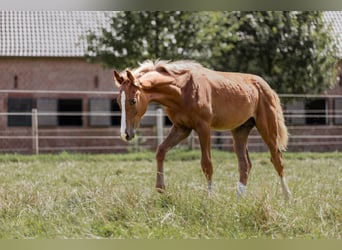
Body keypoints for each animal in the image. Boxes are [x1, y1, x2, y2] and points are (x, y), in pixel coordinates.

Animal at [114, 59, 292, 199]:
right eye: (117, 101)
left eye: (133, 100)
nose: (125, 134)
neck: (182, 90)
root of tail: (266, 87)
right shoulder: (181, 128)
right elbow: (161, 151)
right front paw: (160, 188)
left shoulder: (203, 127)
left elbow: (207, 164)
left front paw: (210, 198)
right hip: (240, 131)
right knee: (245, 165)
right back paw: (238, 200)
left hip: (267, 127)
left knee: (277, 159)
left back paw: (287, 197)